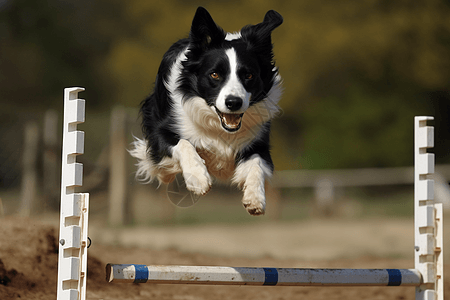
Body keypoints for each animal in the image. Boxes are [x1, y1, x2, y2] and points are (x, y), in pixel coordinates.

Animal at [130, 5, 284, 214]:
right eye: (215, 74)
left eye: (249, 75)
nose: (233, 102)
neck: (217, 125)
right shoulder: (159, 131)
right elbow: (183, 143)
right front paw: (198, 178)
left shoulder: (258, 141)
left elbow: (257, 164)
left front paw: (255, 197)